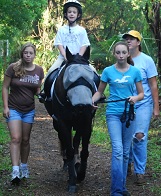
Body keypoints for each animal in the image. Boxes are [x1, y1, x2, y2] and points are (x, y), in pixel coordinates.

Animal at [40, 47, 99, 193]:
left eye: (90, 77)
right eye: (69, 77)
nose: (83, 105)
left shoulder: (87, 122)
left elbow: (84, 151)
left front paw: (81, 174)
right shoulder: (62, 123)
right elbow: (70, 149)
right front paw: (72, 181)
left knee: (76, 141)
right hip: (56, 123)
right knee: (63, 140)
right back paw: (66, 163)